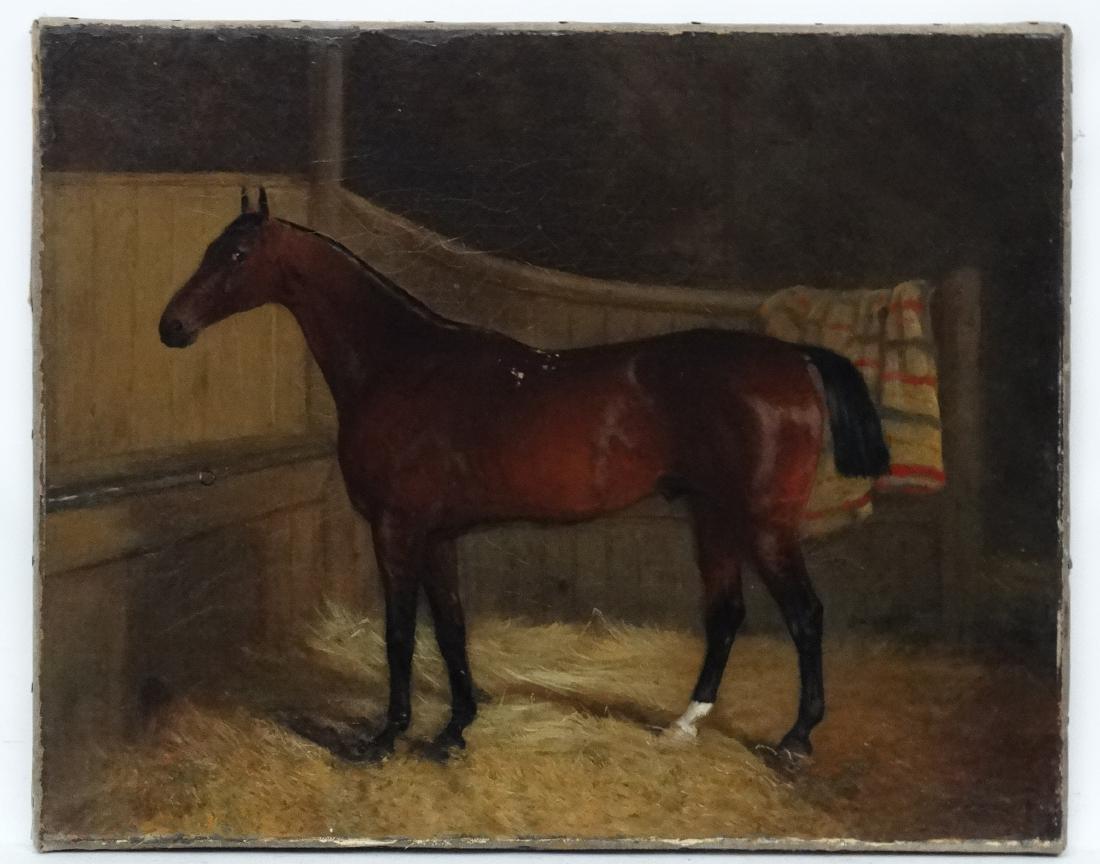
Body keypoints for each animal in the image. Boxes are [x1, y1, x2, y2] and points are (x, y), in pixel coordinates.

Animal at [159, 188, 889, 764]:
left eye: (235, 256)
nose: (172, 327)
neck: (402, 365)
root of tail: (792, 357)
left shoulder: (397, 529)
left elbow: (399, 635)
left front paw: (385, 739)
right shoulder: (438, 535)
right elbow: (450, 627)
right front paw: (453, 731)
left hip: (764, 523)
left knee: (804, 616)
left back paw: (796, 741)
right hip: (713, 518)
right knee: (727, 613)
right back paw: (682, 727)